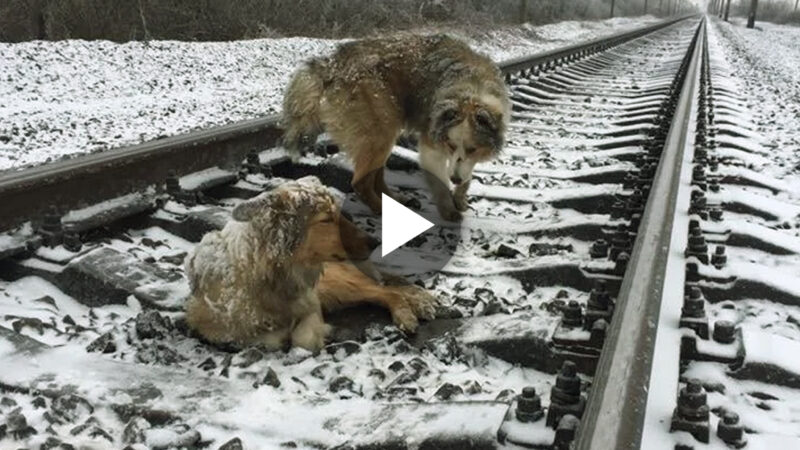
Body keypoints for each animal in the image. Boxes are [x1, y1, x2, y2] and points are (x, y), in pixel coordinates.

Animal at [184, 177, 438, 352]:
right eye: (326, 219)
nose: (376, 242)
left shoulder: (312, 300)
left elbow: (302, 338)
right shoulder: (212, 326)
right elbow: (262, 338)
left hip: (337, 284)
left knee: (387, 291)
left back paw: (410, 312)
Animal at [282, 33, 510, 221]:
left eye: (473, 149)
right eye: (450, 145)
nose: (454, 178)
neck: (472, 89)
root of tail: (331, 64)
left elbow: (466, 172)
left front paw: (460, 197)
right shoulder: (431, 144)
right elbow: (440, 181)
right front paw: (448, 208)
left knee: (376, 177)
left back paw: (398, 200)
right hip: (381, 128)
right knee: (361, 183)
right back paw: (380, 208)